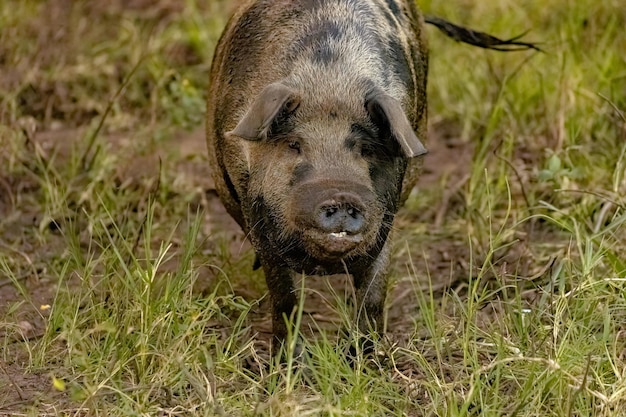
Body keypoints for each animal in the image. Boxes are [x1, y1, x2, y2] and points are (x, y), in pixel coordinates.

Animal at [206, 0, 536, 352]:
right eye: (294, 144)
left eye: (365, 148)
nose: (340, 193)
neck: (330, 79)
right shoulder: (259, 222)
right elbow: (283, 296)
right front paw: (286, 359)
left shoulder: (386, 219)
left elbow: (374, 293)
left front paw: (367, 358)